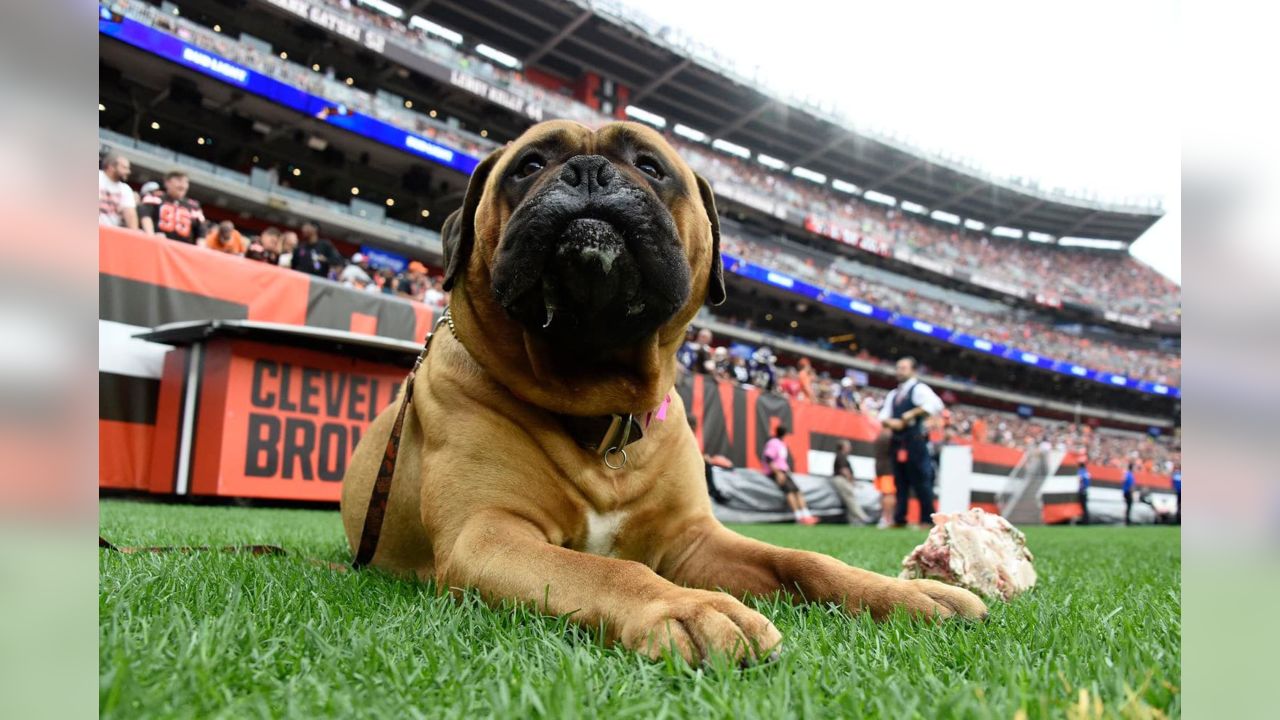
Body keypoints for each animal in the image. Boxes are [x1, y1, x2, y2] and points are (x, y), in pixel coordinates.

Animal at [337, 119, 977, 661]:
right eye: (529, 164)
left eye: (649, 164)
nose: (588, 172)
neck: (600, 406)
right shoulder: (488, 533)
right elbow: (607, 570)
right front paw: (688, 607)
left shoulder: (695, 542)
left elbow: (799, 557)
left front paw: (905, 594)